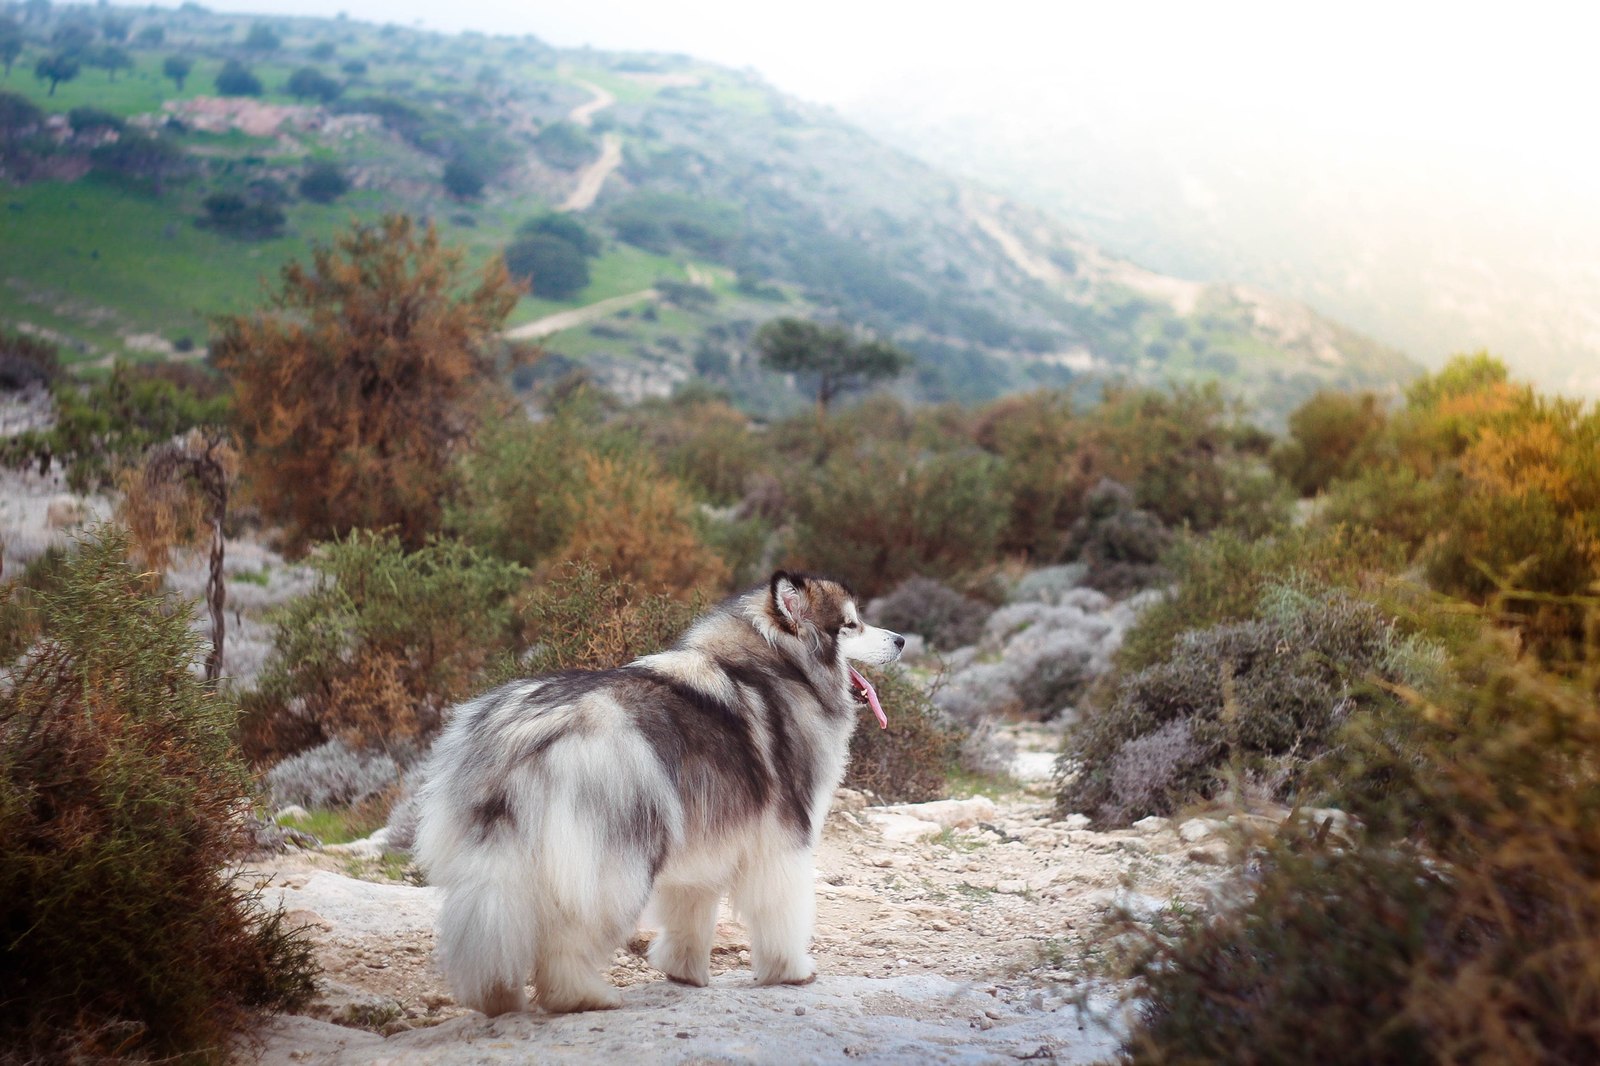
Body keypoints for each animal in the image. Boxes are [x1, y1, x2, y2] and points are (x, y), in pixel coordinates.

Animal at [412, 569, 908, 1011]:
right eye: (851, 624)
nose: (901, 640)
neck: (779, 665)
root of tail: (523, 736)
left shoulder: (706, 842)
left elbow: (691, 914)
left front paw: (684, 972)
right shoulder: (782, 843)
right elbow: (780, 914)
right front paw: (791, 972)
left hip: (505, 864)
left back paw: (499, 997)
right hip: (619, 863)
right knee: (568, 940)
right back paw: (582, 997)